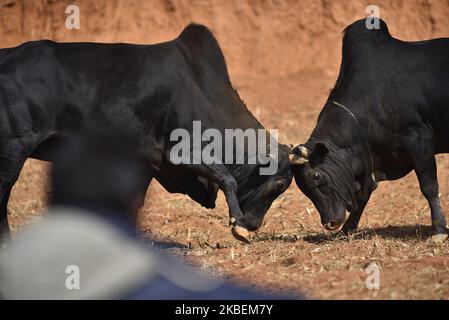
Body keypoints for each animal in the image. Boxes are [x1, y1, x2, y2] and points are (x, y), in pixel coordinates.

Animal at [0, 24, 294, 245]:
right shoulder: (180, 153)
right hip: (14, 148)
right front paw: (238, 226)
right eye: (280, 184)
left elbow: (133, 203)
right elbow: (227, 178)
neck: (202, 93)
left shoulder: (145, 161)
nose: (254, 225)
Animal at [292, 18, 446, 242]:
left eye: (316, 176)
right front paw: (348, 228)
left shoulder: (419, 139)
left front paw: (439, 230)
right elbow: (365, 194)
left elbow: (429, 186)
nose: (330, 223)